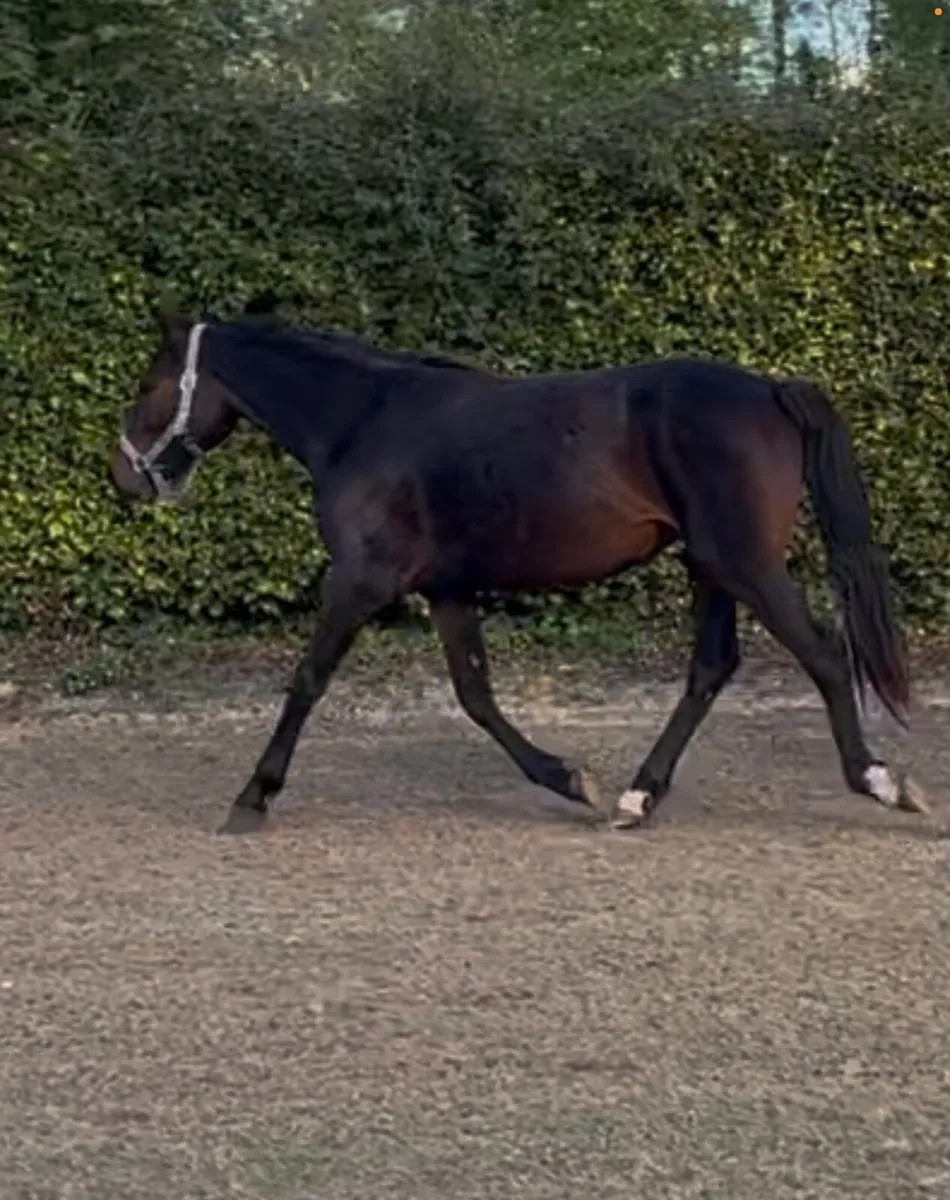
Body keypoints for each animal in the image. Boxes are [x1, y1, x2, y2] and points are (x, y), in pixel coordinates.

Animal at [109, 312, 928, 834]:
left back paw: (883, 782)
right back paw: (637, 797)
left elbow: (308, 680)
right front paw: (568, 778)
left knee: (823, 653)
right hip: (712, 566)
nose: (124, 477)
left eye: (151, 386)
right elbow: (476, 695)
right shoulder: (446, 590)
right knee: (712, 668)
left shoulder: (360, 580)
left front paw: (252, 797)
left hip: (744, 563)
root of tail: (770, 389)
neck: (360, 421)